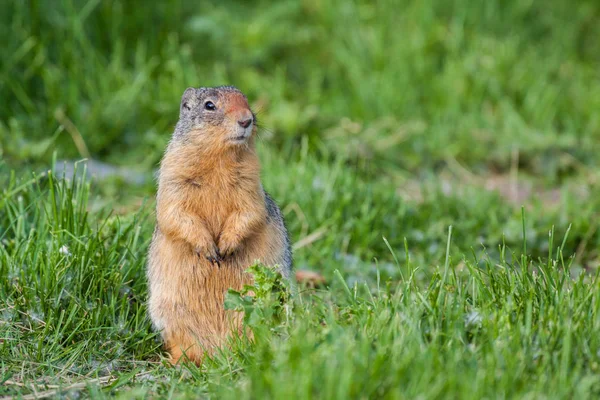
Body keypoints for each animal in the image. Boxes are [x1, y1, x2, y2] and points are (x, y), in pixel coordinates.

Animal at [148, 86, 292, 364]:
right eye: (209, 105)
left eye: (246, 100)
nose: (246, 120)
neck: (219, 158)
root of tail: (218, 353)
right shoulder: (173, 175)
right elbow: (174, 212)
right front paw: (208, 248)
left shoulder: (251, 184)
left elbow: (249, 211)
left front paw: (225, 247)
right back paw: (178, 361)